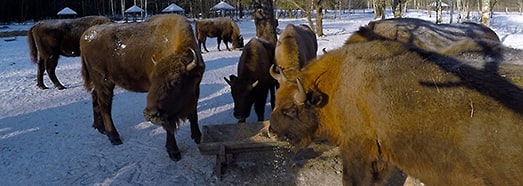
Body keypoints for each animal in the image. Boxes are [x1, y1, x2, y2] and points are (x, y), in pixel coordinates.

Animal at [81, 14, 206, 161]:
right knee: (105, 107)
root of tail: (86, 35)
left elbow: (193, 113)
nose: (149, 114)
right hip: (104, 82)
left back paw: (99, 128)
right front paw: (173, 152)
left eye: (176, 81)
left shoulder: (195, 90)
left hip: (100, 83)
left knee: (95, 98)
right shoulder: (167, 112)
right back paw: (114, 137)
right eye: (153, 80)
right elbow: (169, 126)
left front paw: (198, 137)